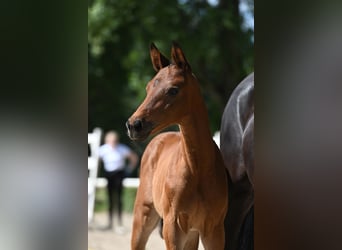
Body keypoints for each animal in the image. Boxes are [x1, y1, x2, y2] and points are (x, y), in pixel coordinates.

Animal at [125, 42, 227, 249]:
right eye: (148, 87)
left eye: (174, 89)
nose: (134, 125)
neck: (198, 170)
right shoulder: (173, 228)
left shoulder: (214, 230)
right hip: (143, 216)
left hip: (192, 234)